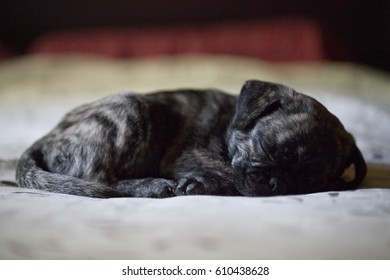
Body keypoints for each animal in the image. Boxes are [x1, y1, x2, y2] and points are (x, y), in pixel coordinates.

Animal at [16, 79, 366, 198]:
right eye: (268, 148)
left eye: (312, 183)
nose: (277, 183)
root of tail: (47, 138)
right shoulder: (193, 155)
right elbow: (229, 175)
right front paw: (197, 184)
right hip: (130, 108)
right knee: (100, 180)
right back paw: (152, 186)